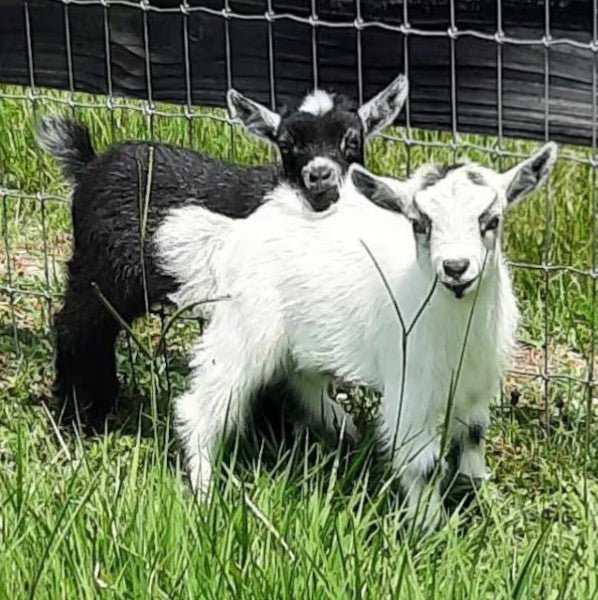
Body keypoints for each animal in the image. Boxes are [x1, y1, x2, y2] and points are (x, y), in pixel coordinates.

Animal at [37, 75, 410, 426]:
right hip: (101, 269)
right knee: (78, 326)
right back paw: (84, 415)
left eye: (352, 140)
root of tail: (88, 166)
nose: (320, 176)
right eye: (287, 145)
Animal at [157, 142, 560, 528]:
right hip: (245, 325)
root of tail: (233, 234)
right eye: (420, 223)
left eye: (491, 220)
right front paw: (432, 531)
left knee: (302, 376)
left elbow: (473, 440)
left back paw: (343, 428)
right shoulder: (411, 389)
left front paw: (483, 502)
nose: (456, 268)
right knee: (206, 403)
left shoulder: (476, 386)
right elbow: (423, 465)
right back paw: (206, 494)